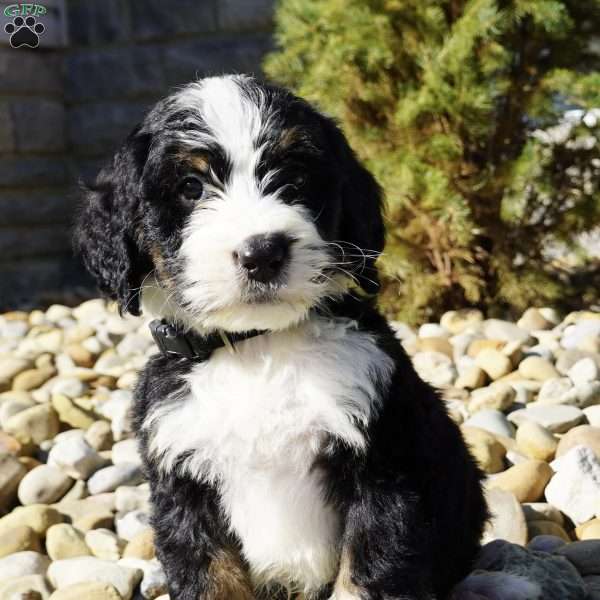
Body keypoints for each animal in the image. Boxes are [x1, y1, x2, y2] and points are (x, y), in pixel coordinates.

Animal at [75, 74, 488, 600]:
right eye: (191, 187)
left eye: (294, 180)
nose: (262, 252)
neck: (258, 347)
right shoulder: (183, 485)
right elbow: (210, 576)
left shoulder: (386, 468)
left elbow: (368, 572)